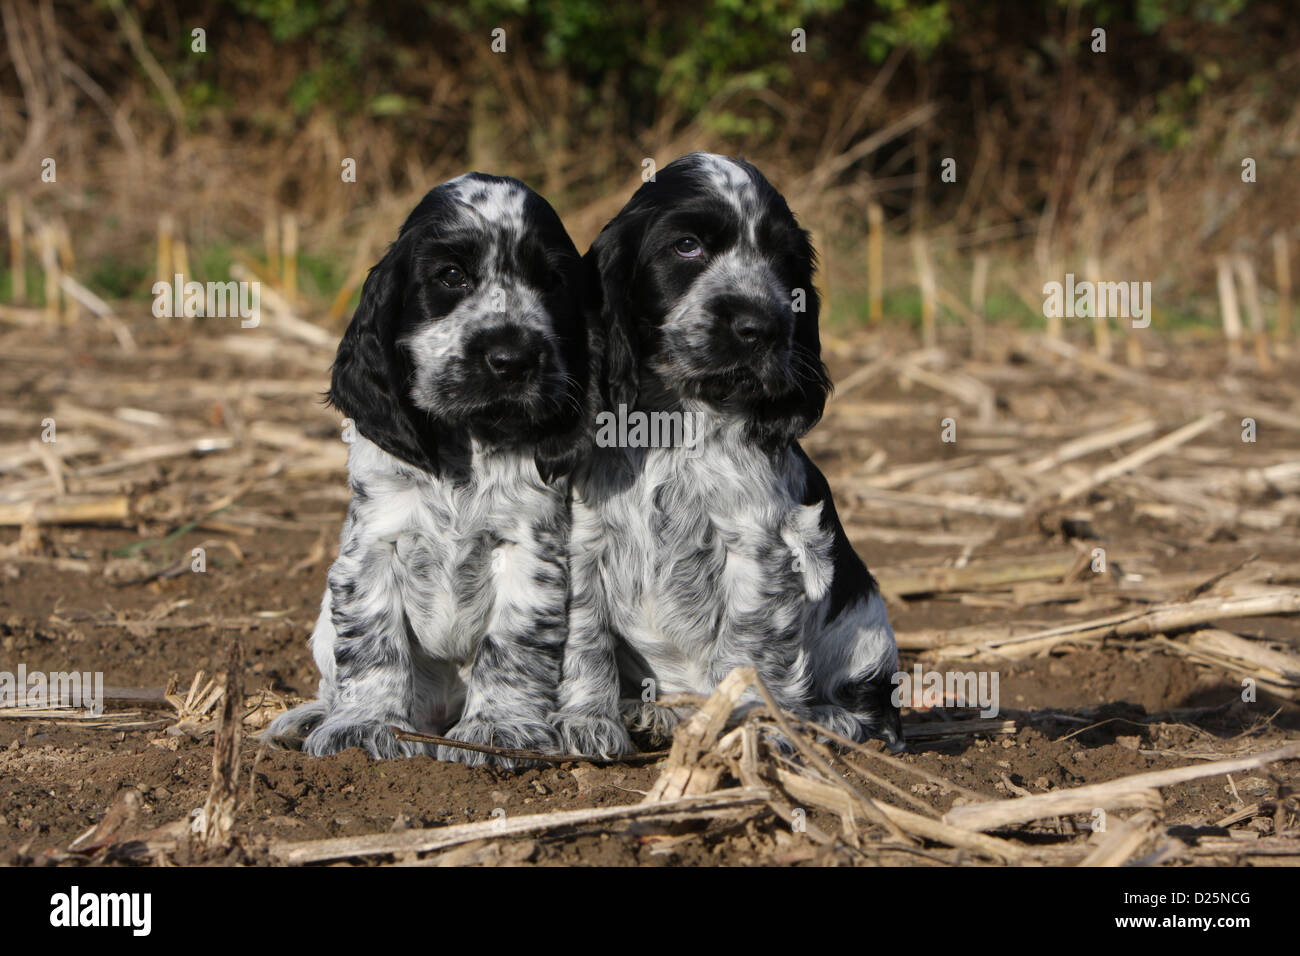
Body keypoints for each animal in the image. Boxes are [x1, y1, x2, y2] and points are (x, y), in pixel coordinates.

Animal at [275, 174, 603, 770]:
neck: (468, 441)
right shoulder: (373, 544)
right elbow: (373, 644)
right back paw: (309, 717)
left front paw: (499, 729)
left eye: (551, 282)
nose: (512, 358)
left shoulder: (529, 549)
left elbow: (512, 643)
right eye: (451, 276)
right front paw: (363, 726)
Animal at [559, 153, 904, 754]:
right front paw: (588, 722)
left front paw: (746, 727)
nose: (762, 326)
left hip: (867, 638)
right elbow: (585, 637)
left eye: (782, 261)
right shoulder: (585, 539)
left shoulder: (761, 548)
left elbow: (750, 647)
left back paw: (820, 722)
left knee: (873, 713)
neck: (678, 422)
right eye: (687, 246)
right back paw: (654, 713)